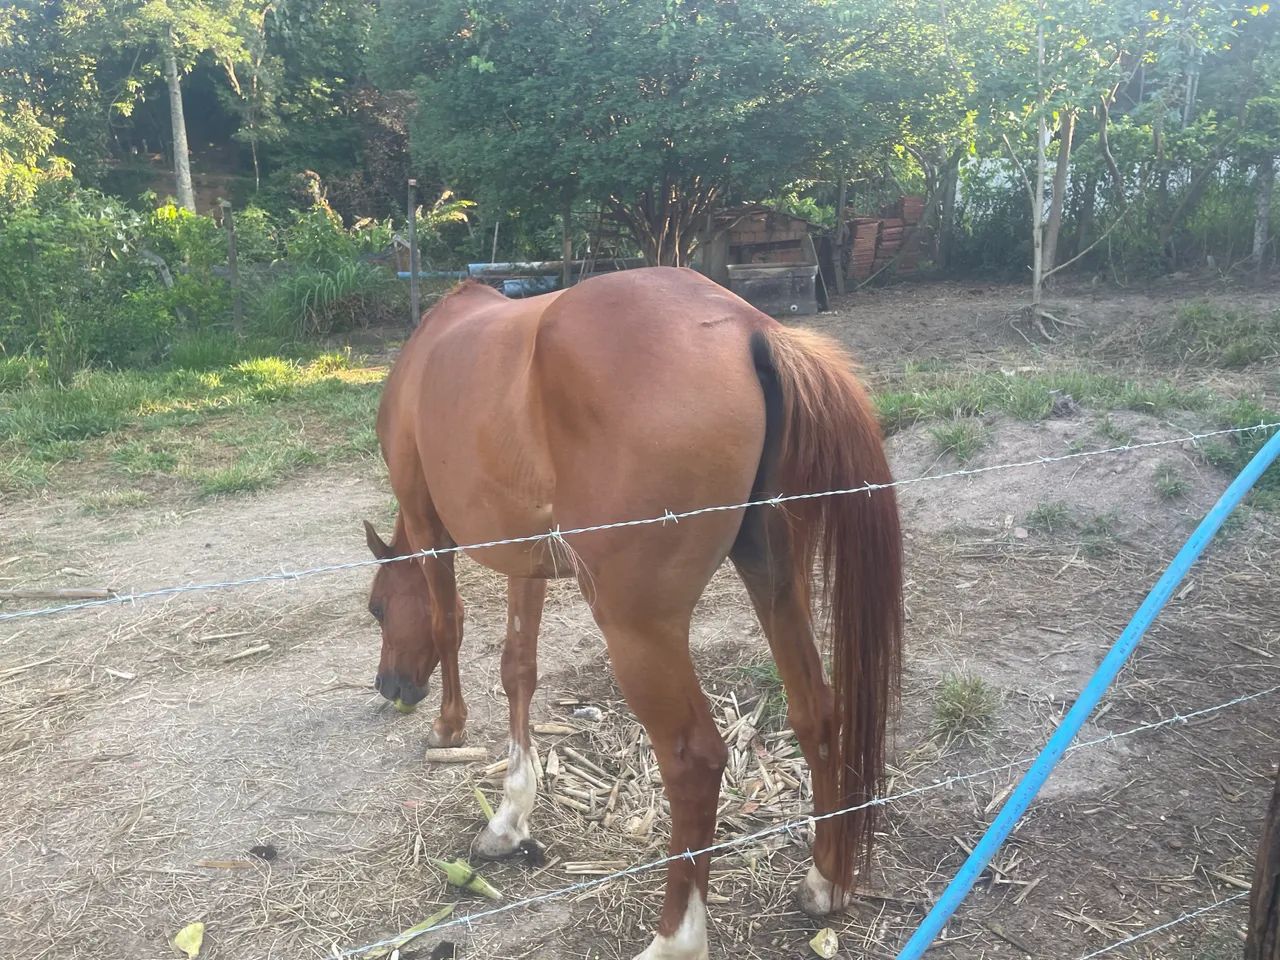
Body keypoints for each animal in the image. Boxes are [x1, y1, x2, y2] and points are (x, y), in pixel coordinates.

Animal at [362, 266, 902, 959]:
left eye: (378, 609)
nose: (391, 686)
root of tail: (752, 329)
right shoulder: (526, 556)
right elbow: (518, 669)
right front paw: (510, 817)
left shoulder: (428, 524)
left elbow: (447, 623)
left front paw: (448, 726)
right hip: (773, 581)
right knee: (818, 713)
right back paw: (825, 881)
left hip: (638, 629)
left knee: (694, 761)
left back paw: (677, 939)